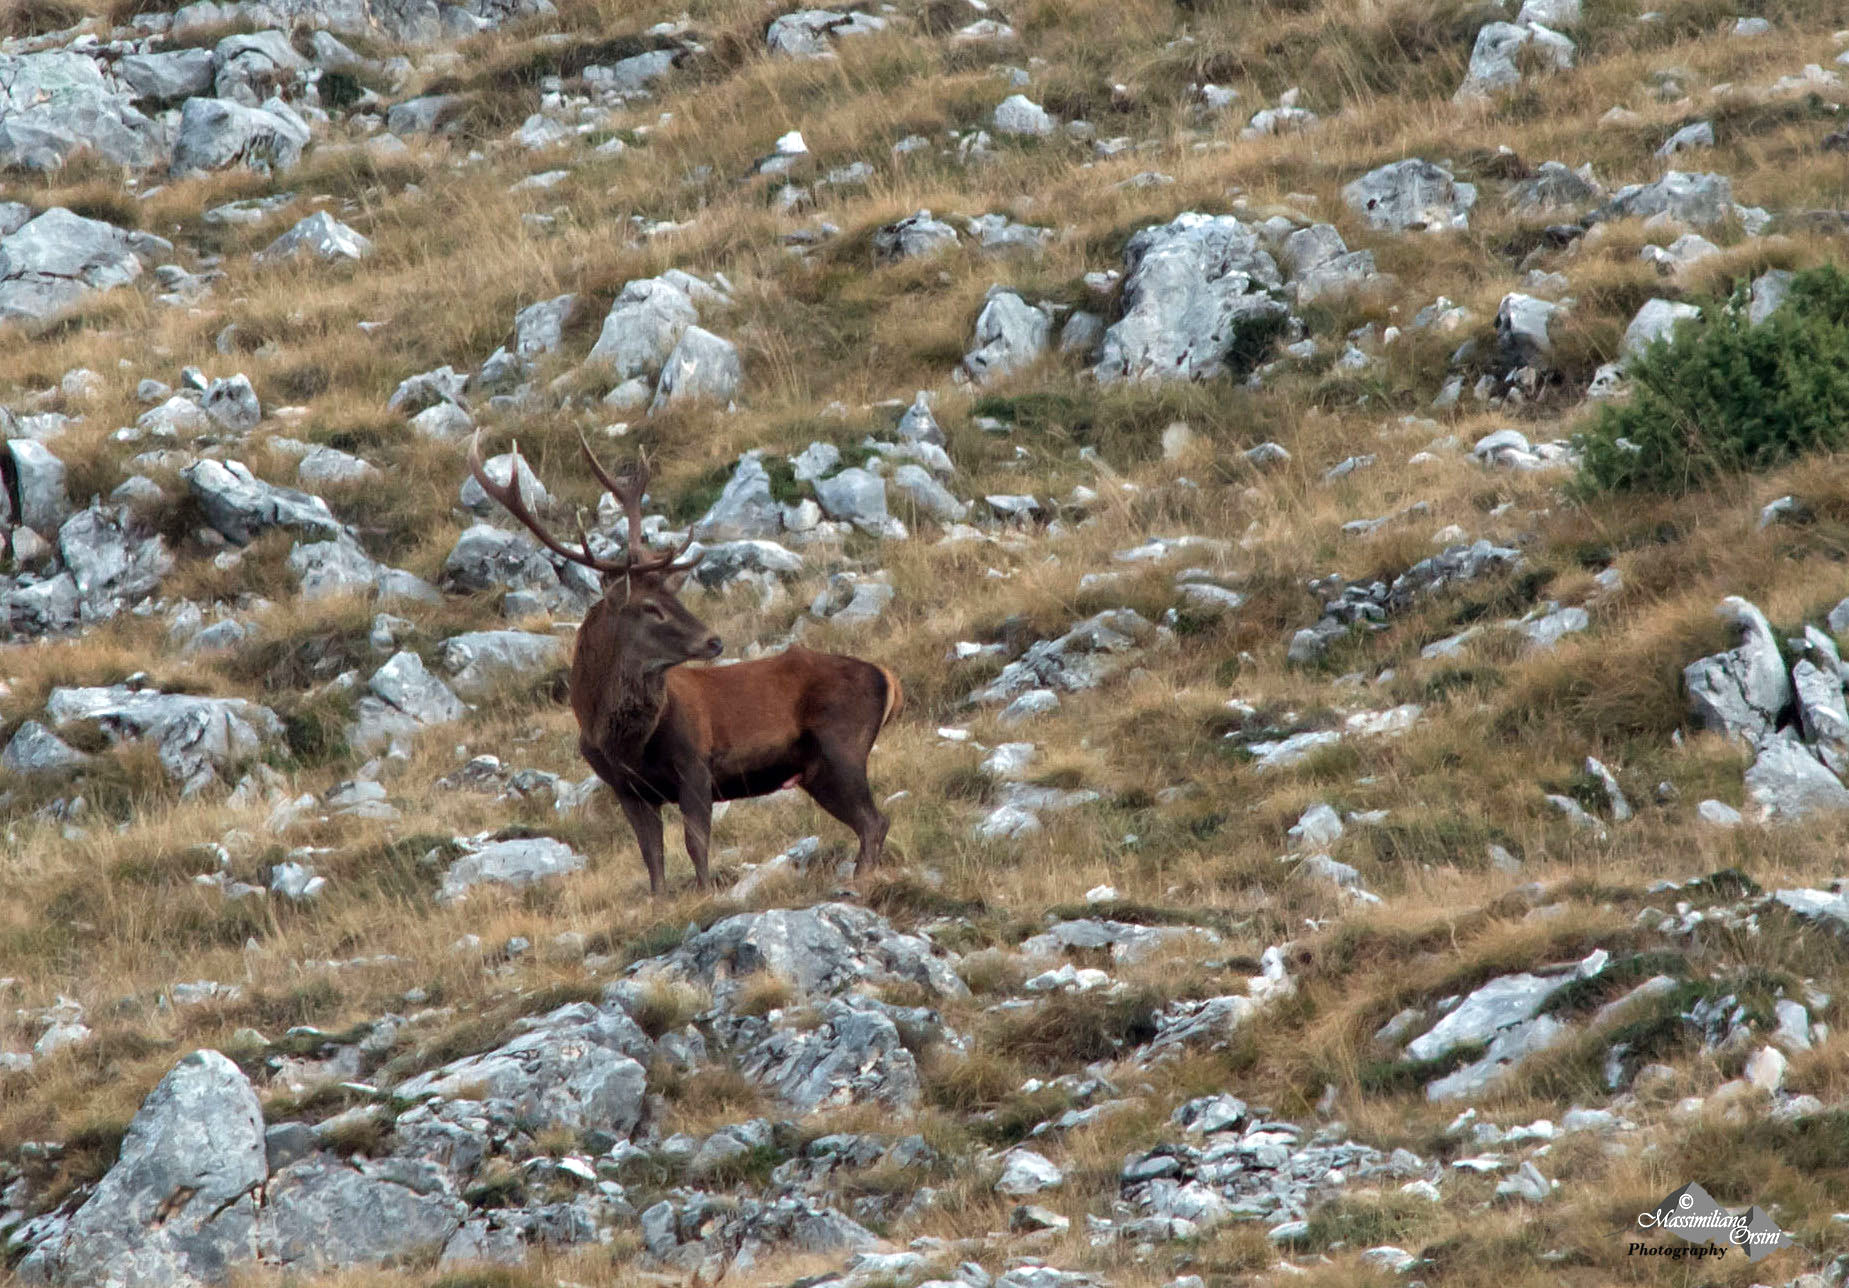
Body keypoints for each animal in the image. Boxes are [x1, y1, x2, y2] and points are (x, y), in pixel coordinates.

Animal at [466, 431, 904, 894]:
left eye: (674, 597)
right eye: (650, 607)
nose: (713, 640)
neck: (623, 741)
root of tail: (887, 678)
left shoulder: (694, 763)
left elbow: (696, 844)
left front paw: (706, 894)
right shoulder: (625, 788)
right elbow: (652, 858)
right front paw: (661, 900)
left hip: (841, 747)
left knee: (874, 821)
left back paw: (860, 880)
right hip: (818, 769)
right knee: (870, 822)